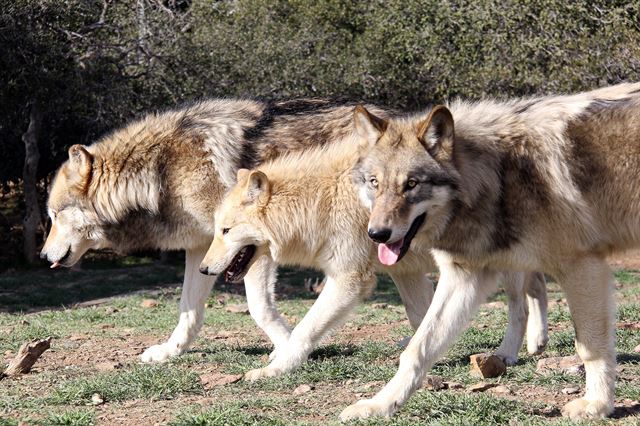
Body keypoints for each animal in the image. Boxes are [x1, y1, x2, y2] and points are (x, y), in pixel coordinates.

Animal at [199, 133, 544, 380]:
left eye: (226, 230)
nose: (203, 268)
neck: (322, 199)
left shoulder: (349, 280)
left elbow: (304, 330)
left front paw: (275, 368)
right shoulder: (403, 272)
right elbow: (423, 317)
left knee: (520, 307)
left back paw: (509, 353)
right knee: (537, 286)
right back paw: (537, 342)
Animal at [348, 81, 640, 422]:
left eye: (412, 184)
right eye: (374, 183)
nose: (377, 234)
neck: (498, 176)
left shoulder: (583, 266)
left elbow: (590, 346)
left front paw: (597, 405)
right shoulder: (463, 276)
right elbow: (418, 348)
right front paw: (380, 405)